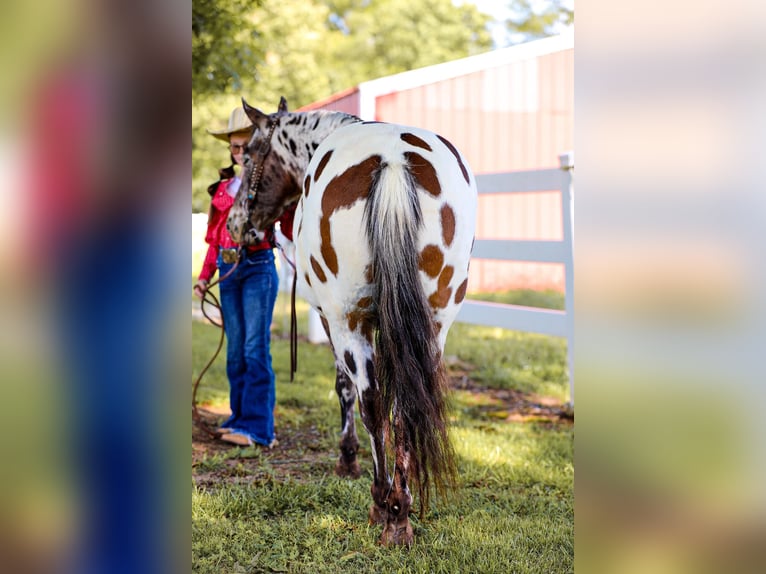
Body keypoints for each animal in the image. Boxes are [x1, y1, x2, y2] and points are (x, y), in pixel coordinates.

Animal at [228, 97, 476, 548]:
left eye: (251, 154)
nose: (238, 224)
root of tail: (394, 159)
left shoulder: (332, 319)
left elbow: (346, 389)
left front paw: (347, 459)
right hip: (435, 323)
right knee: (406, 406)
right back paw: (401, 510)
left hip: (349, 320)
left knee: (372, 402)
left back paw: (385, 506)